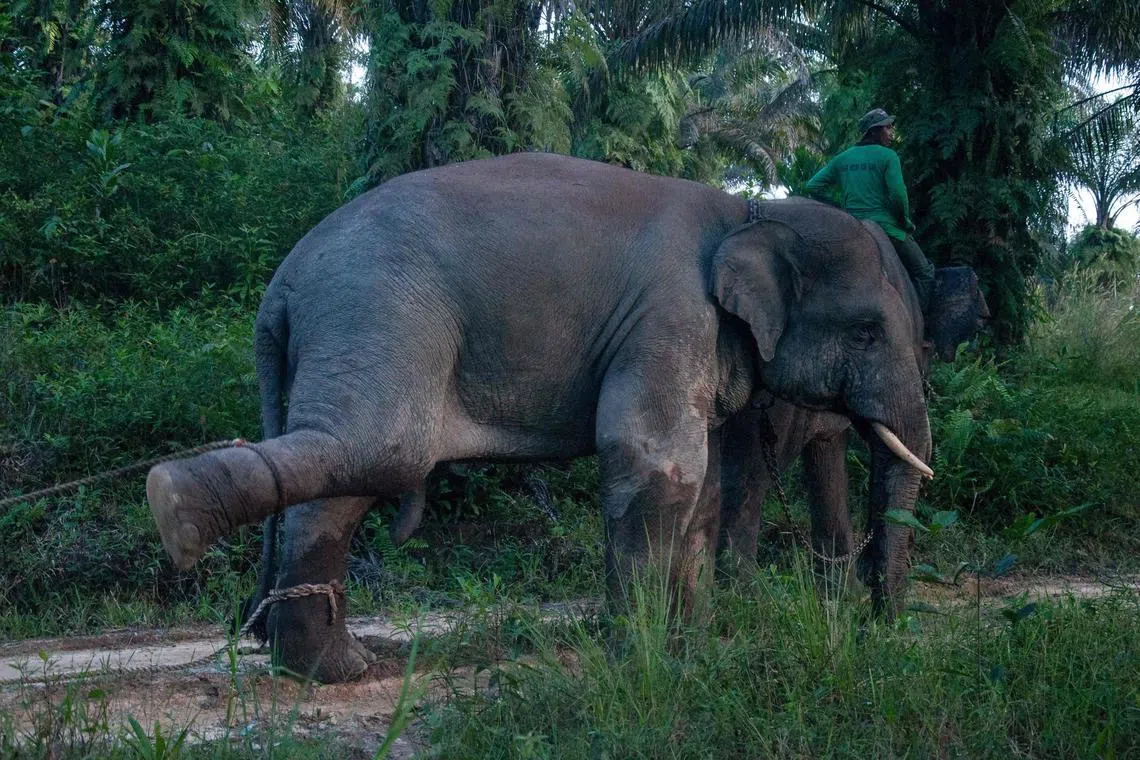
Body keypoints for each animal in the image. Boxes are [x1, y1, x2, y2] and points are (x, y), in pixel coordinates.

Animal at [145, 153, 934, 683]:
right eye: (867, 332)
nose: (880, 627)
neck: (751, 211)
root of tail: (283, 281)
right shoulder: (670, 316)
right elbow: (651, 460)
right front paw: (640, 658)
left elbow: (701, 488)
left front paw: (692, 646)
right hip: (374, 314)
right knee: (378, 450)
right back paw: (181, 512)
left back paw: (319, 662)